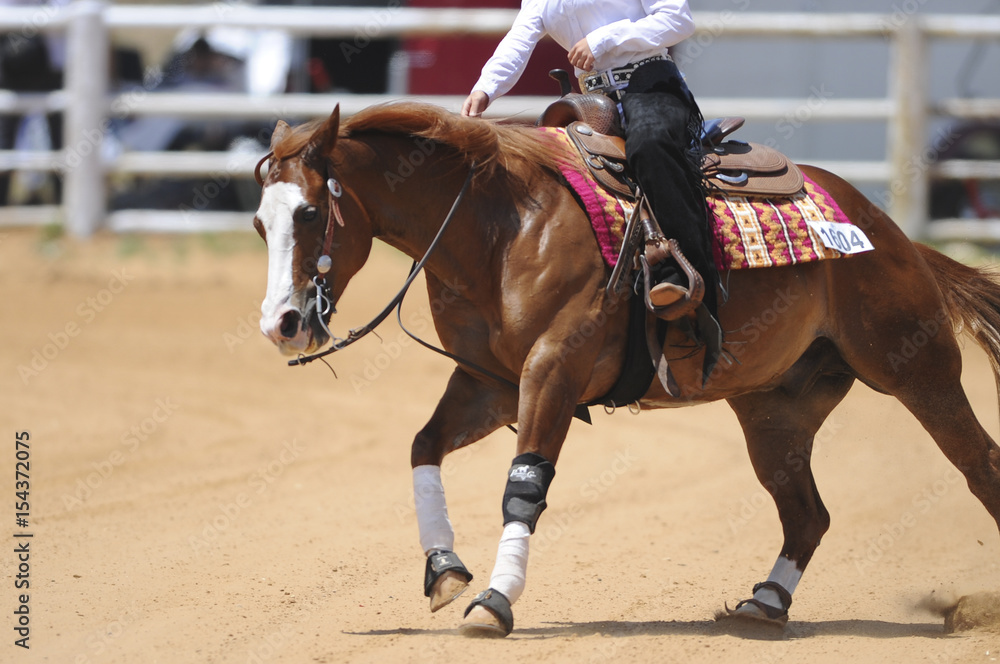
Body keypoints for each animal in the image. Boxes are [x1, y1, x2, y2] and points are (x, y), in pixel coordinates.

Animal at [252, 100, 1000, 637]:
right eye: (261, 223)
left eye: (311, 211)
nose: (281, 325)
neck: (501, 228)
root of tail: (894, 236)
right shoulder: (490, 385)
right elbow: (423, 447)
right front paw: (444, 571)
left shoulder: (553, 370)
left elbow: (524, 486)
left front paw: (495, 599)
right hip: (774, 411)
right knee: (807, 514)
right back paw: (764, 604)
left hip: (919, 369)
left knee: (979, 467)